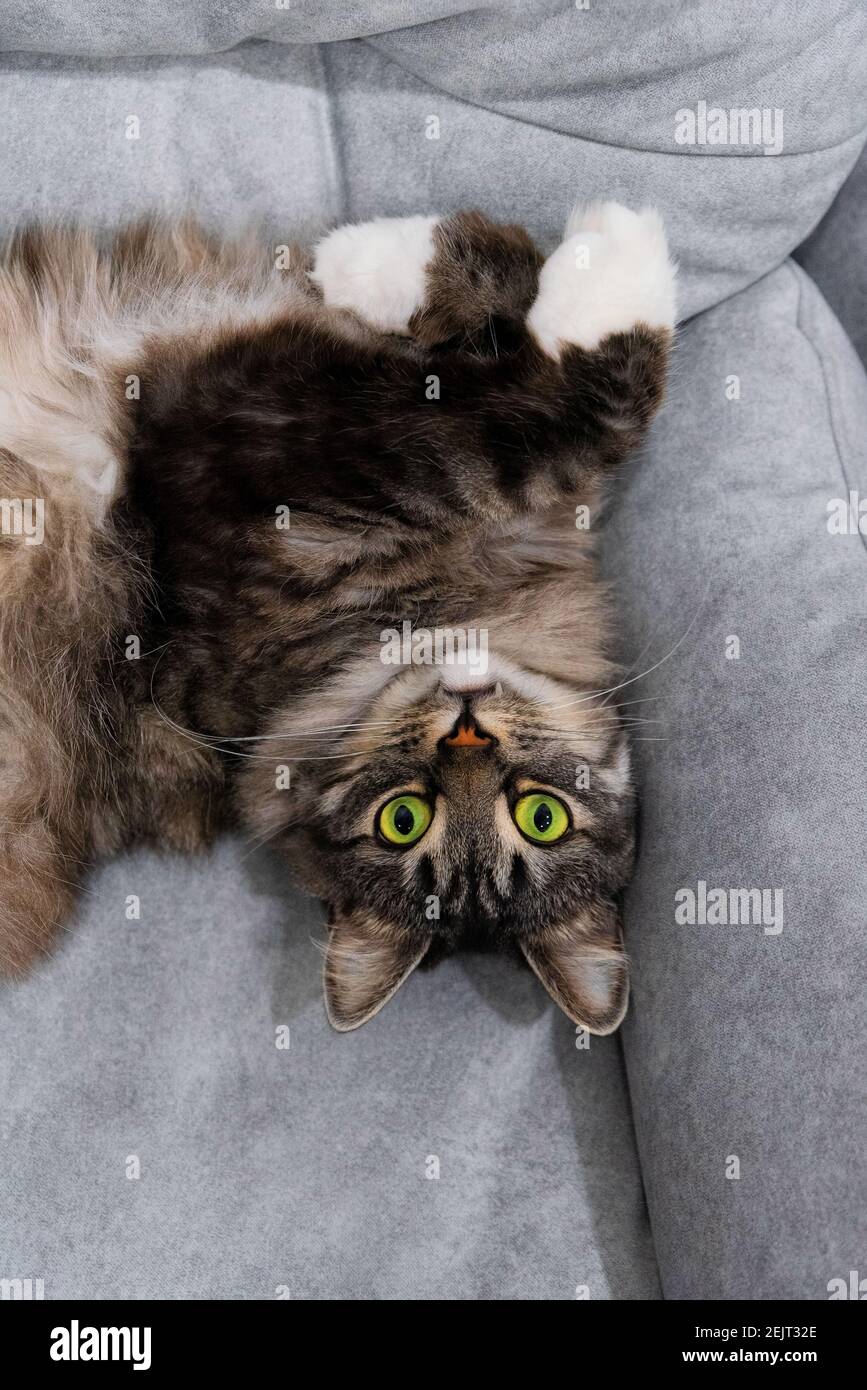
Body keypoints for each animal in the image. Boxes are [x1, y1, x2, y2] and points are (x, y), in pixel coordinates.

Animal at [0, 202, 678, 1034]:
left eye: (541, 818)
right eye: (403, 820)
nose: (466, 733)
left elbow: (508, 396)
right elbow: (516, 357)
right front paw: (382, 263)